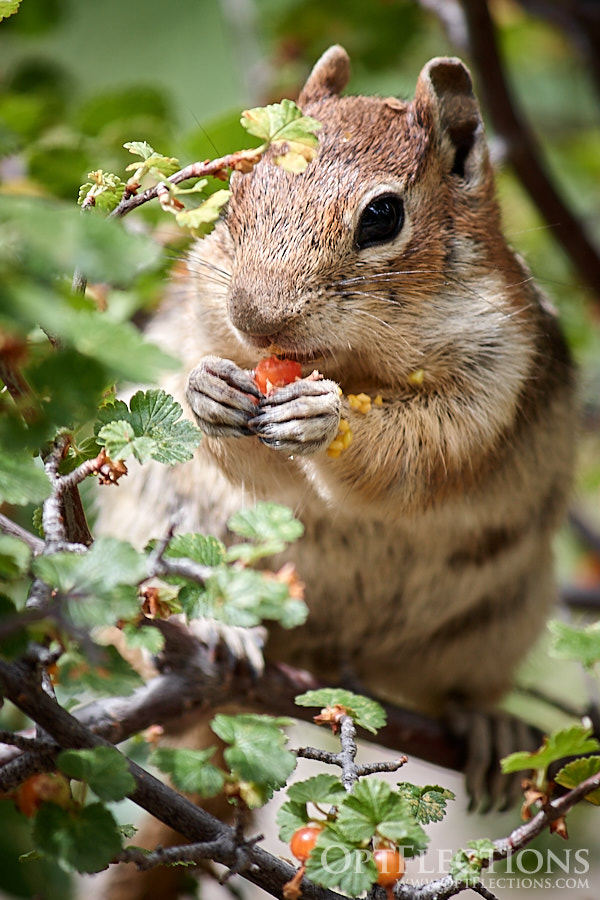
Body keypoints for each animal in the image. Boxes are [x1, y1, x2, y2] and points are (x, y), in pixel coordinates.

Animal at [98, 44, 575, 894]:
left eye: (382, 216)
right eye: (236, 193)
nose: (257, 318)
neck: (352, 361)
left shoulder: (494, 378)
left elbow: (425, 452)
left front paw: (325, 420)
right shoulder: (200, 317)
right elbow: (226, 429)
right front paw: (208, 391)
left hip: (499, 615)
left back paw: (485, 721)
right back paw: (224, 629)